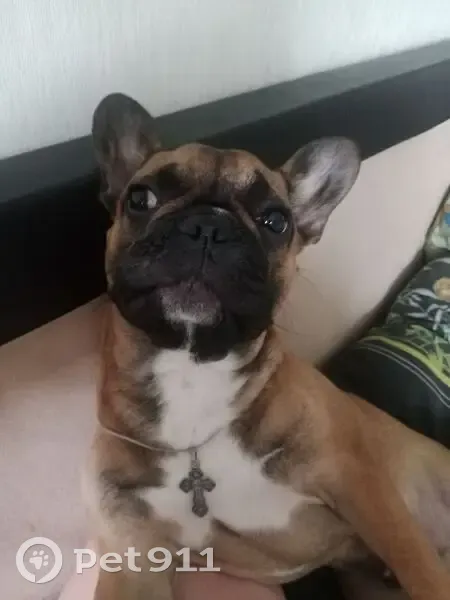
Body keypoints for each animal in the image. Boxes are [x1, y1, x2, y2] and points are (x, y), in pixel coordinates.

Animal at [86, 93, 450, 600]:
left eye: (276, 221)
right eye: (141, 198)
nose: (208, 226)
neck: (192, 371)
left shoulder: (360, 486)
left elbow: (422, 571)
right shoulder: (134, 554)